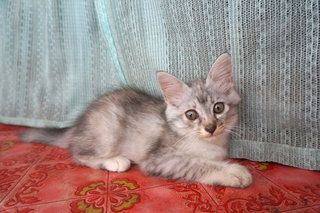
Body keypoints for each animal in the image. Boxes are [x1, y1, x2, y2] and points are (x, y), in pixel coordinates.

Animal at [20, 53, 252, 188]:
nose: (211, 127)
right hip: (107, 129)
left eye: (218, 108)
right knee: (78, 154)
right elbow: (196, 164)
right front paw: (233, 172)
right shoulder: (159, 158)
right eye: (191, 114)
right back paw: (115, 160)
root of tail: (79, 123)